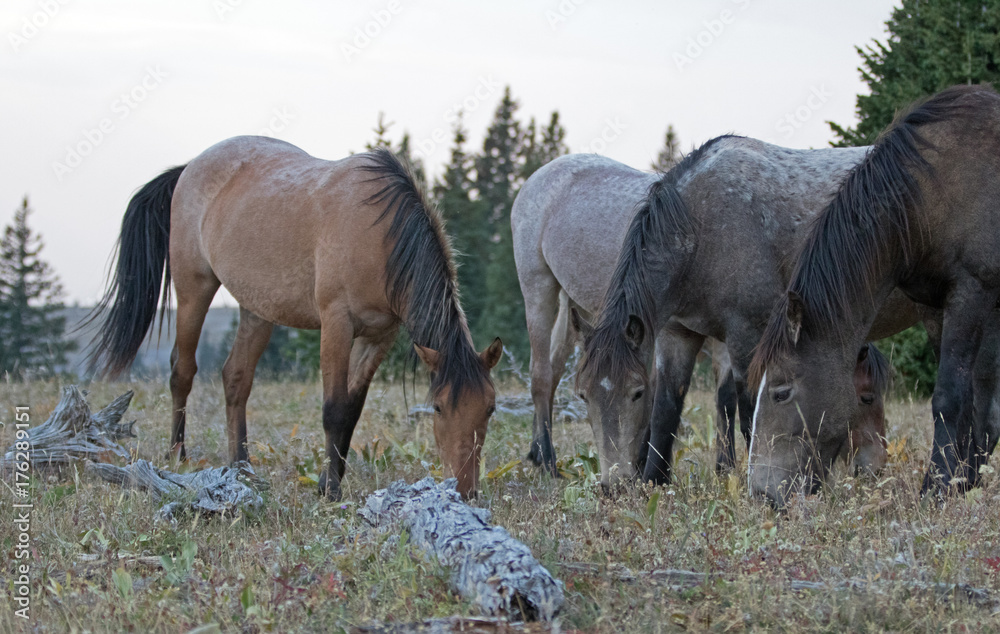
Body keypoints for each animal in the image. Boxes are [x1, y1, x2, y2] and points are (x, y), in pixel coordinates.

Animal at [87, 136, 503, 500]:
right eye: (438, 407)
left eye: (490, 408)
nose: (466, 490)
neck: (380, 237)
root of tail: (189, 167)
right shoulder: (337, 324)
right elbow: (334, 410)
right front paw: (330, 491)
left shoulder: (378, 337)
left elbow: (352, 409)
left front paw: (328, 480)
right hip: (194, 289)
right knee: (182, 371)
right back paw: (179, 456)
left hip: (257, 310)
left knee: (236, 378)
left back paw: (242, 467)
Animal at [514, 153, 893, 486]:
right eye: (867, 398)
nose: (873, 464)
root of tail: (539, 176)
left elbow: (721, 397)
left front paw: (721, 467)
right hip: (539, 287)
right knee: (541, 375)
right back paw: (547, 461)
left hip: (574, 309)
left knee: (555, 368)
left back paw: (539, 453)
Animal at [749, 85, 1000, 506]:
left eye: (781, 392)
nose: (761, 493)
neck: (929, 195)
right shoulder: (939, 307)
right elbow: (979, 403)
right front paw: (964, 483)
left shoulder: (972, 295)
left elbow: (950, 397)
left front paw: (937, 489)